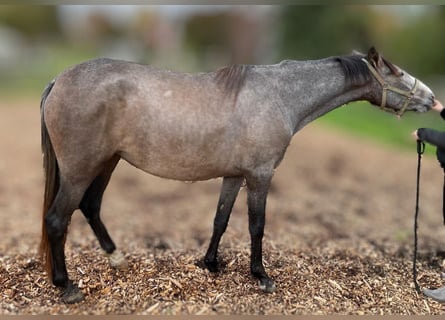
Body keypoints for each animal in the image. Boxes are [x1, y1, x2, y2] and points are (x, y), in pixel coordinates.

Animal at [39, 47, 434, 302]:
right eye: (394, 70)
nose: (432, 98)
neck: (280, 95)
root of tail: (58, 80)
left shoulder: (233, 175)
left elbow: (221, 219)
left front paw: (210, 264)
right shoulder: (260, 175)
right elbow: (256, 225)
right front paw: (261, 276)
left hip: (107, 162)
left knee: (90, 207)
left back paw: (116, 259)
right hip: (81, 169)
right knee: (58, 219)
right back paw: (66, 287)